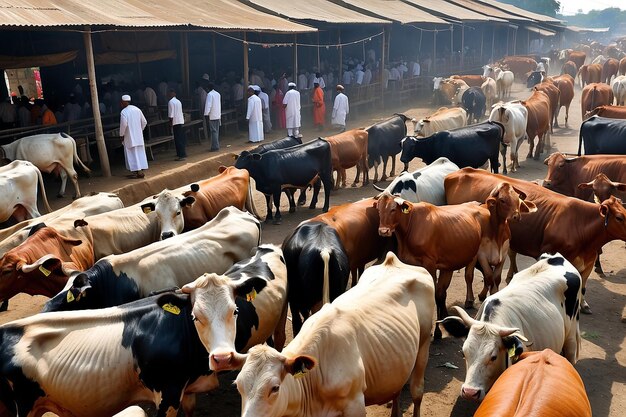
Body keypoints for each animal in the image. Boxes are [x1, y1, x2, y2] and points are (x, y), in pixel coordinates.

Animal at [233, 250, 434, 416]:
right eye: (238, 386)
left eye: (274, 388)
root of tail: (393, 261)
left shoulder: (355, 405)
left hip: (424, 342)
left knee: (417, 391)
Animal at [372, 183, 532, 318]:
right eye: (379, 210)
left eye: (393, 209)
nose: (383, 231)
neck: (411, 225)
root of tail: (479, 204)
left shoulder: (429, 264)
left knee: (471, 275)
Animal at [444, 166, 626, 312]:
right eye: (619, 217)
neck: (579, 224)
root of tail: (464, 170)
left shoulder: (589, 261)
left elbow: (583, 286)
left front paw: (584, 304)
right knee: (472, 272)